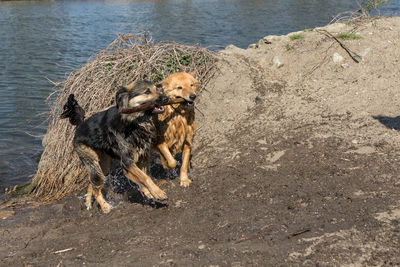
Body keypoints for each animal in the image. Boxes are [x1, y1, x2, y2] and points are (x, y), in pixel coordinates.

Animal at [61, 81, 169, 214]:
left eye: (156, 89)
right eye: (147, 91)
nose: (166, 98)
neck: (134, 121)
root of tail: (79, 125)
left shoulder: (143, 156)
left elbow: (144, 176)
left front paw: (149, 192)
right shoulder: (127, 161)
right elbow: (145, 178)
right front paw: (158, 193)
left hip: (105, 166)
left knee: (92, 184)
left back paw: (88, 202)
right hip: (91, 160)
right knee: (96, 187)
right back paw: (105, 206)